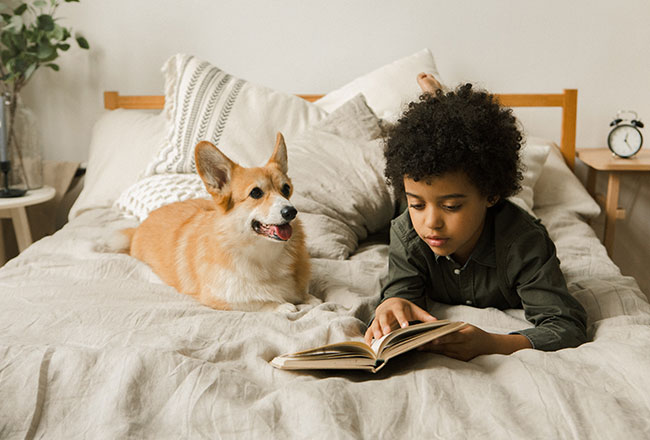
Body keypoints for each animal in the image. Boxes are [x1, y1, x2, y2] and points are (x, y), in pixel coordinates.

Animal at [123, 132, 316, 312]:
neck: (265, 254)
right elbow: (257, 302)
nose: (291, 212)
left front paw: (308, 299)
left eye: (286, 189)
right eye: (256, 193)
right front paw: (282, 305)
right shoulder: (220, 298)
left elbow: (309, 297)